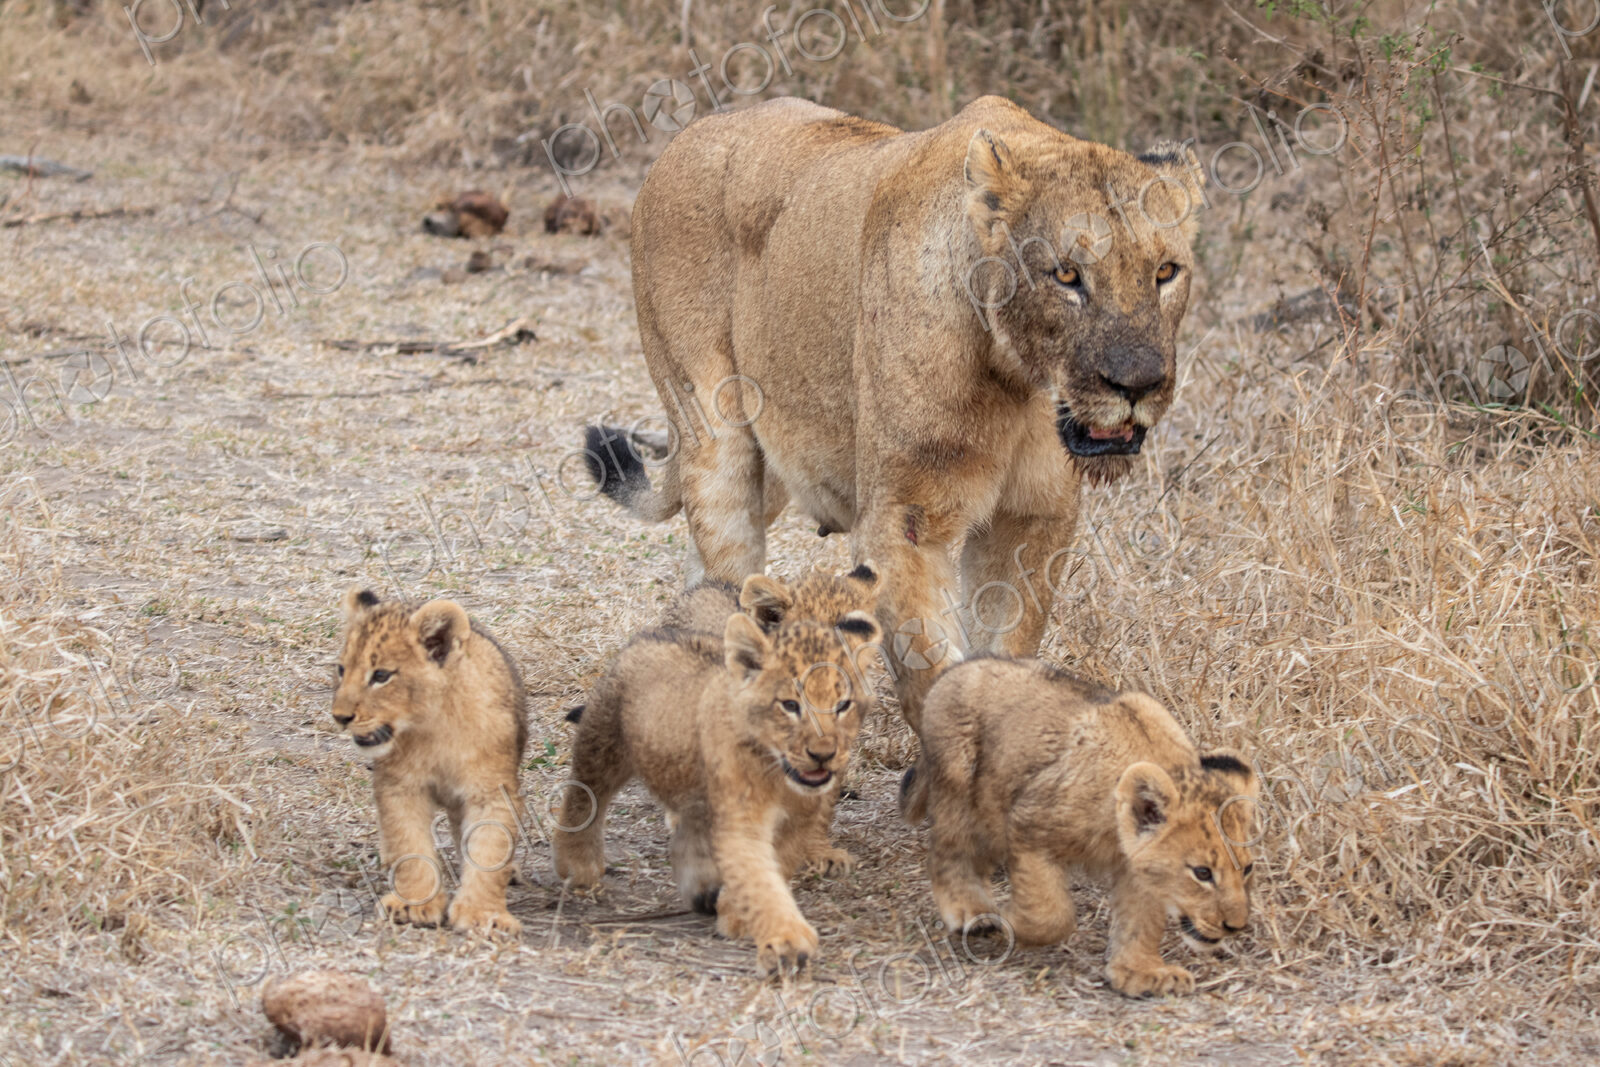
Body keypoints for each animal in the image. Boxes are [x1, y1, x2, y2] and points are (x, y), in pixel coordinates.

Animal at [333, 588, 528, 936]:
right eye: (342, 670)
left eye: (381, 675)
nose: (339, 717)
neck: (433, 726)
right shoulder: (399, 787)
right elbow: (410, 846)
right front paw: (414, 904)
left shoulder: (492, 792)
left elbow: (489, 849)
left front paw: (483, 914)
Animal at [553, 569, 882, 976]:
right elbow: (755, 871)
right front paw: (779, 936)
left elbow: (795, 841)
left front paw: (818, 856)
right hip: (605, 740)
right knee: (586, 796)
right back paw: (580, 863)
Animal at [582, 95, 1205, 728]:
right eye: (1067, 274)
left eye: (1165, 272)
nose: (1138, 384)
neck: (1016, 381)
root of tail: (682, 140)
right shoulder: (899, 523)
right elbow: (931, 667)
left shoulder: (1034, 518)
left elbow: (1006, 644)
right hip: (710, 428)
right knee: (724, 566)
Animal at [900, 655, 1260, 997]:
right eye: (1202, 873)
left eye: (1247, 870)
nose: (1235, 926)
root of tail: (952, 673)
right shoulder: (1029, 825)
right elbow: (1051, 914)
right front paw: (1012, 921)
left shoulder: (1136, 865)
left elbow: (1141, 921)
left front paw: (1140, 972)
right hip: (964, 796)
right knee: (948, 853)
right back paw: (971, 912)